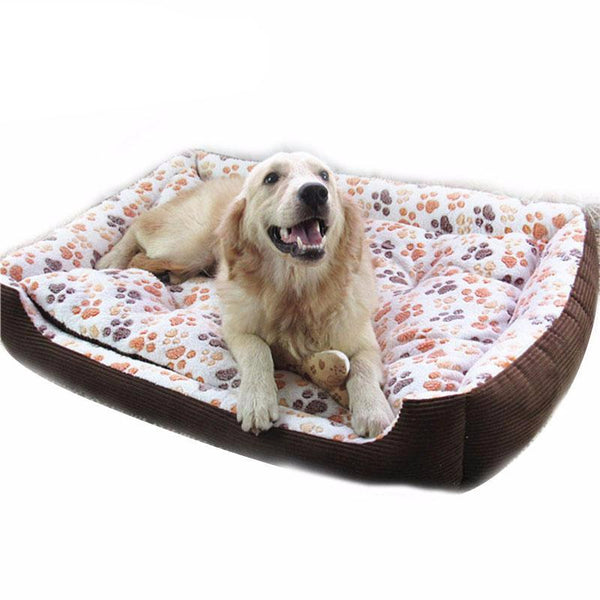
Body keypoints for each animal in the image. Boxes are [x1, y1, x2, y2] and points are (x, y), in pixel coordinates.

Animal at [97, 152, 394, 437]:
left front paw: (373, 410)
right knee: (138, 229)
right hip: (188, 246)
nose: (315, 192)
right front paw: (257, 401)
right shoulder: (236, 329)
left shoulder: (365, 342)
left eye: (324, 176)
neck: (296, 287)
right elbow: (259, 350)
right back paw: (112, 259)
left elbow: (362, 369)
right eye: (271, 178)